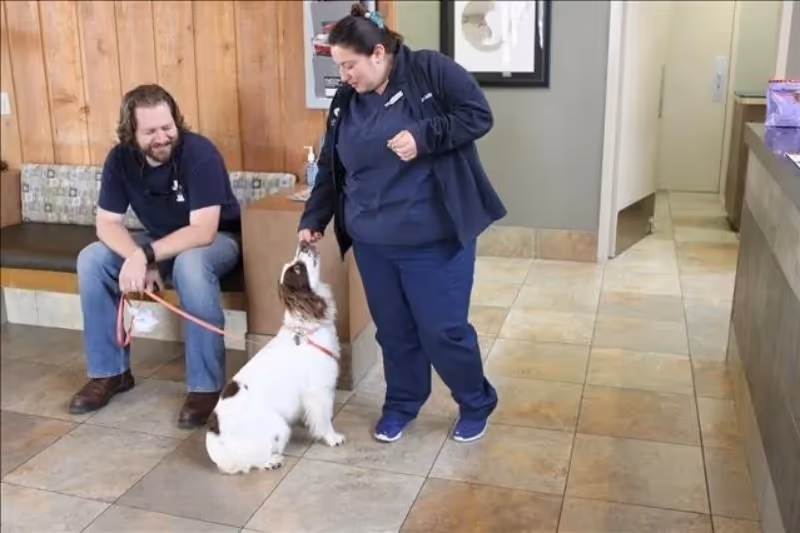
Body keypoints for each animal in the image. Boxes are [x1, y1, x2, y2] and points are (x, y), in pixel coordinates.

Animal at [205, 241, 344, 475]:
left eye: (296, 263)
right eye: (297, 269)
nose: (304, 242)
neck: (304, 328)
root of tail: (216, 449)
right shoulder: (318, 391)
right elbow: (324, 419)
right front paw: (333, 437)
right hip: (279, 426)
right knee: (252, 461)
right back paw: (273, 461)